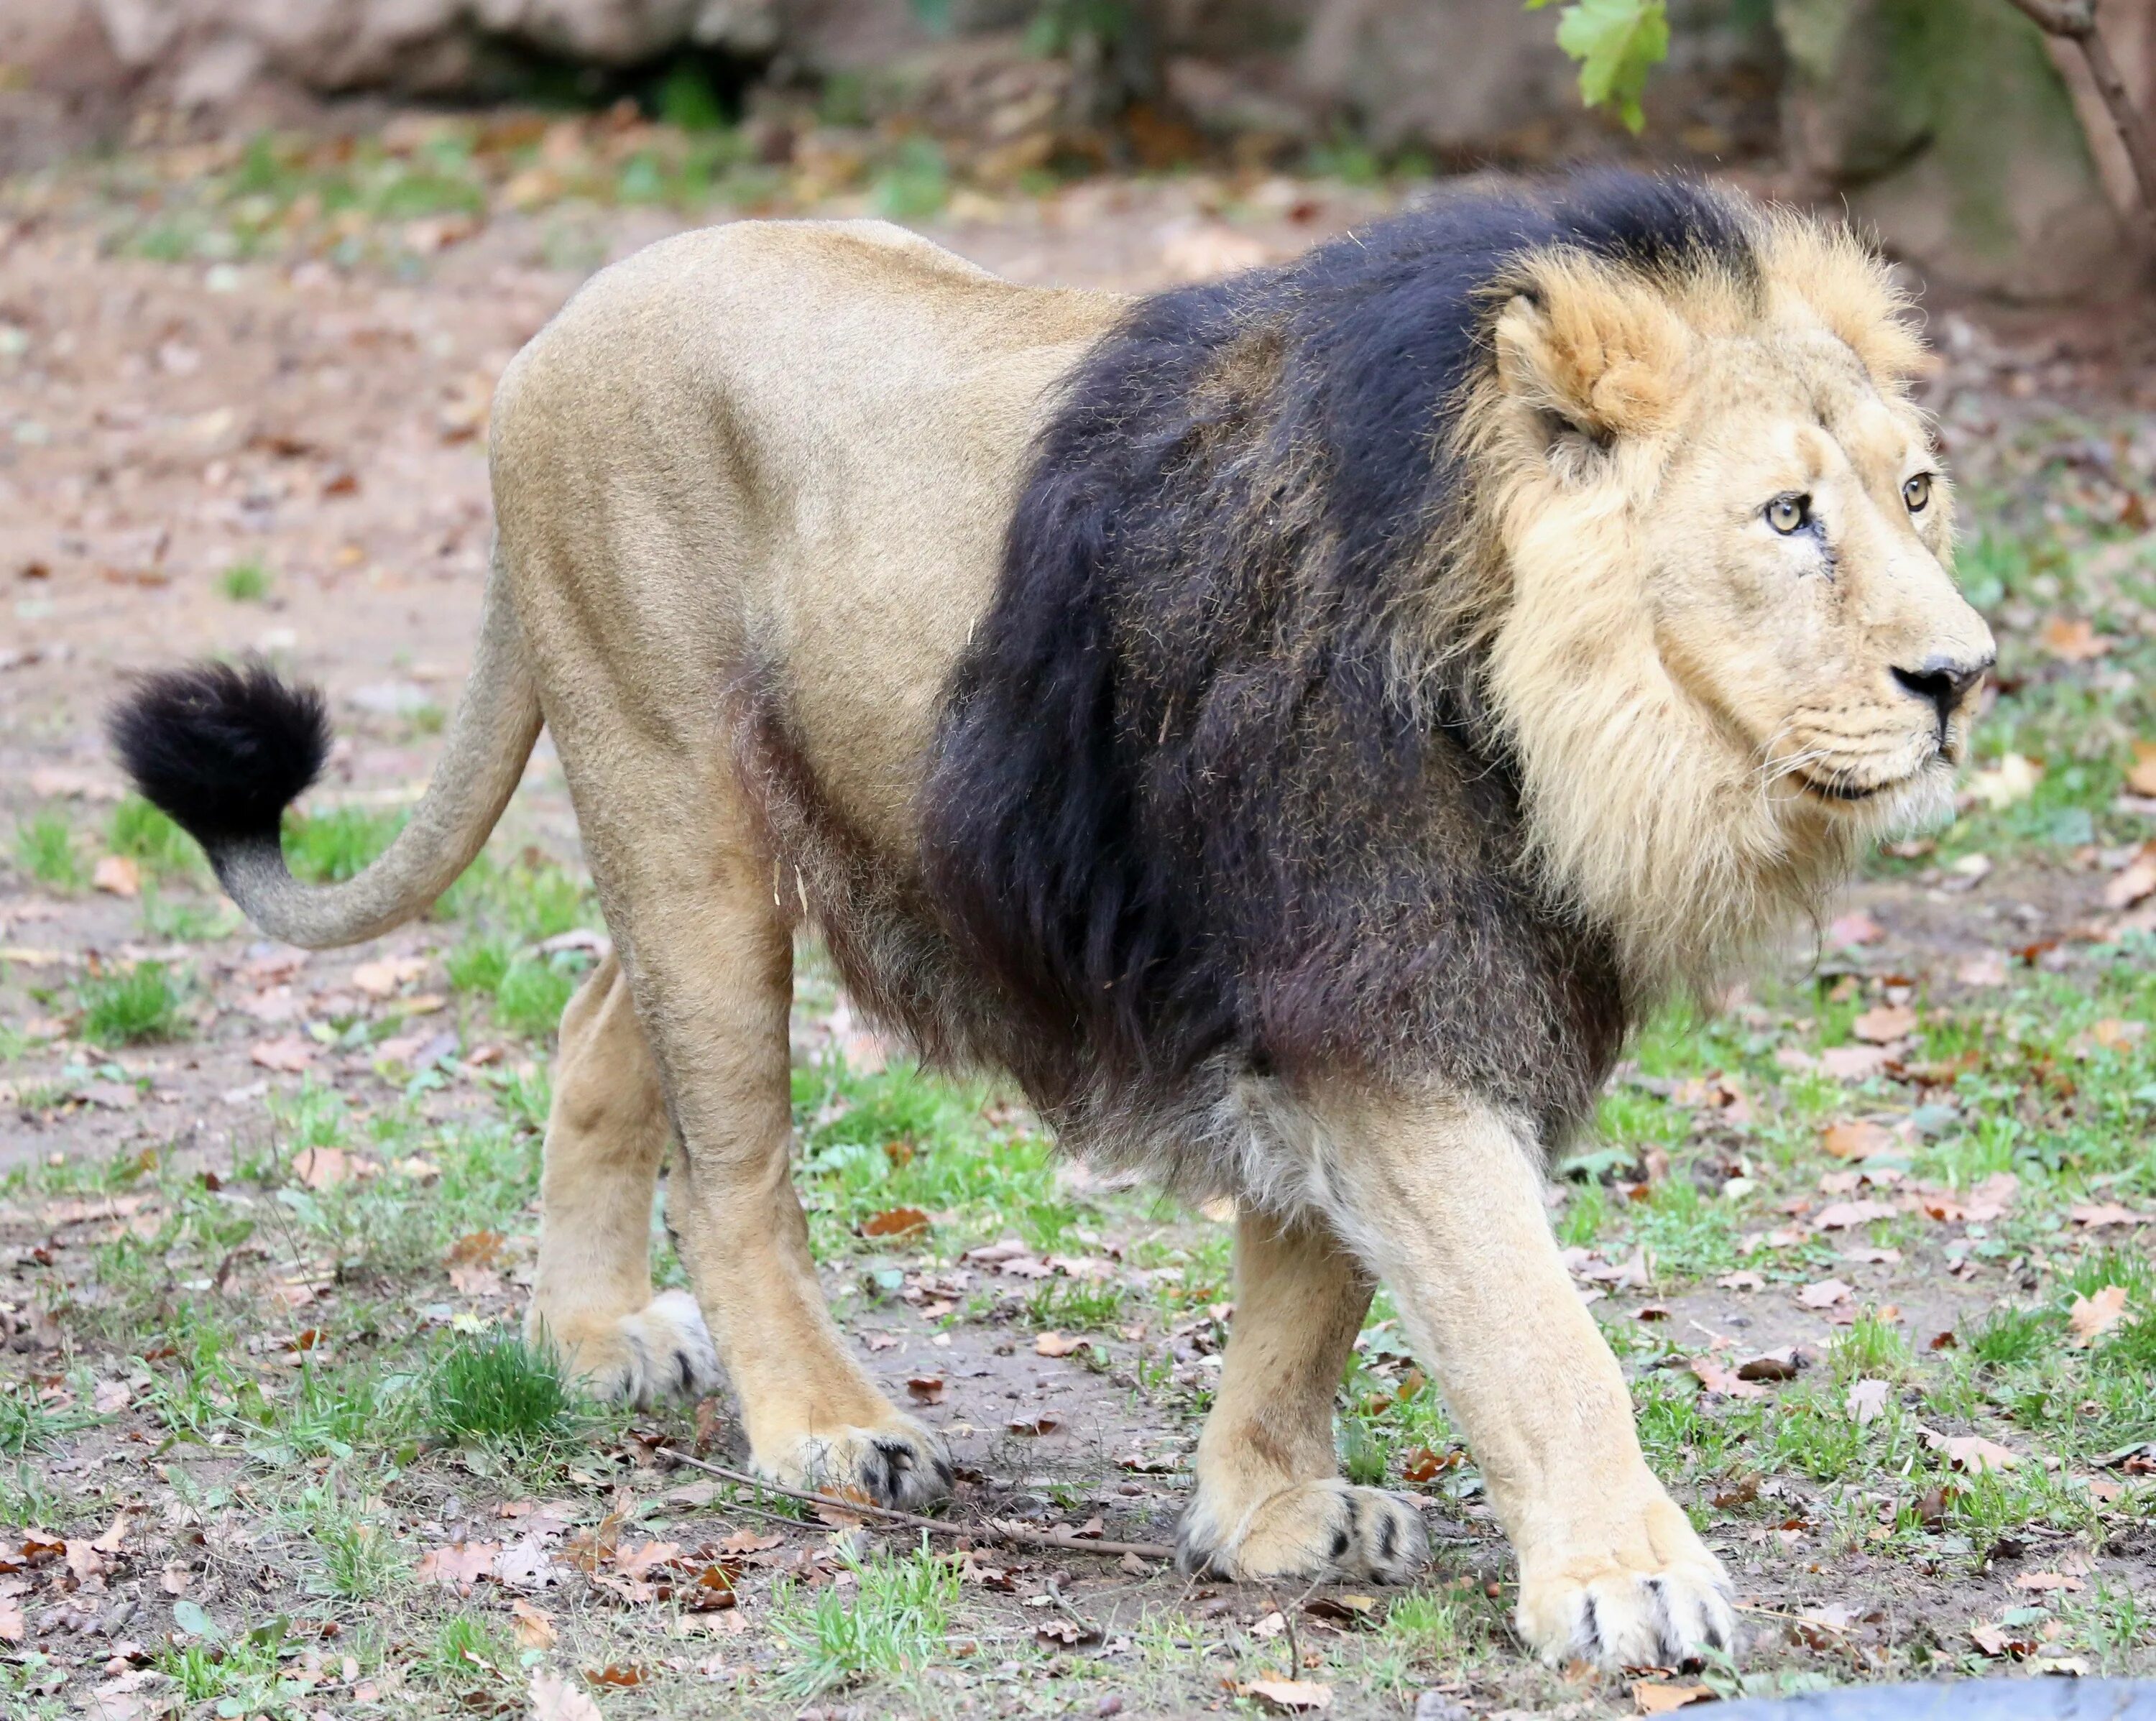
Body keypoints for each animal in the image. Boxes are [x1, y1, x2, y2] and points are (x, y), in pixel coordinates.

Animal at [105, 179, 1984, 1673]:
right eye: (1786, 517)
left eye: (1916, 492)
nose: (1962, 677)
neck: (1559, 720)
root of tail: (570, 312)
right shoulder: (1380, 980)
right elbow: (1531, 1325)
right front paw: (1626, 1581)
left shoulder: (1322, 977)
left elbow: (1310, 1293)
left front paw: (1271, 1518)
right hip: (675, 795)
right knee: (732, 1163)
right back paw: (828, 1432)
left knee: (589, 1029)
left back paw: (586, 1338)